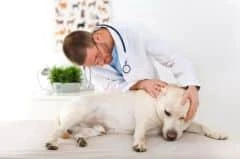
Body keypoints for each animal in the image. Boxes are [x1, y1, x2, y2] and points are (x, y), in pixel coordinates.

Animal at [46, 84, 228, 152]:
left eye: (183, 117)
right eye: (167, 112)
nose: (171, 137)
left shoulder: (187, 126)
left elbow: (203, 126)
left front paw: (217, 133)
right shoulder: (143, 122)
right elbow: (140, 133)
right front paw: (140, 143)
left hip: (95, 129)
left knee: (77, 133)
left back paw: (81, 140)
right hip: (75, 115)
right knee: (57, 131)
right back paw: (51, 143)